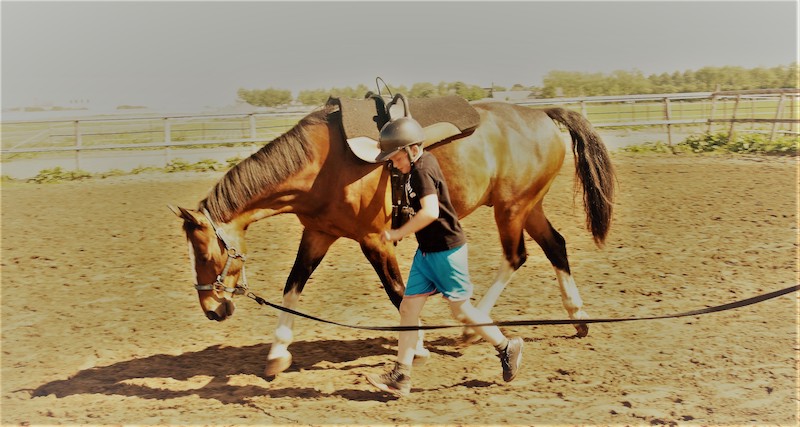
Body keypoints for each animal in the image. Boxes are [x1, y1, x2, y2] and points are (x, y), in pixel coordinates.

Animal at [172, 101, 616, 378]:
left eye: (206, 254)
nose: (212, 310)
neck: (321, 165)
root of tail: (541, 113)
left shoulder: (375, 239)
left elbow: (397, 292)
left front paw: (416, 347)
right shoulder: (318, 234)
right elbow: (293, 286)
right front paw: (278, 353)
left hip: (511, 208)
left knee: (516, 255)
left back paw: (473, 328)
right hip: (528, 206)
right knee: (554, 245)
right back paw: (577, 317)